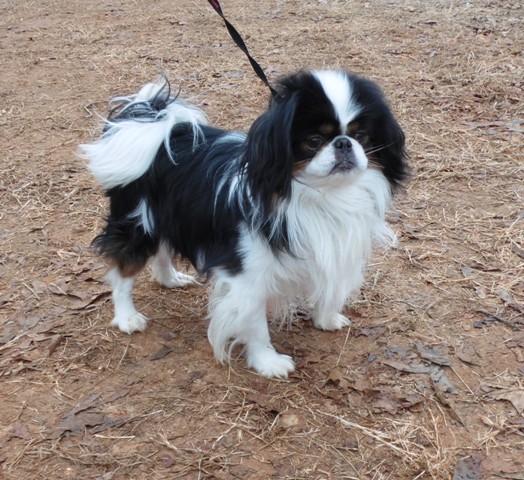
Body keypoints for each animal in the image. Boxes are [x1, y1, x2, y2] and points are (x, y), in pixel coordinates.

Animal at [81, 70, 410, 378]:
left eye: (362, 136)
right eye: (314, 141)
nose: (344, 143)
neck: (321, 196)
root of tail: (160, 128)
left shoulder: (334, 247)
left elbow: (329, 291)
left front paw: (326, 320)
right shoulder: (248, 278)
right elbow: (255, 324)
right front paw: (267, 362)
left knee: (162, 251)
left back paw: (170, 279)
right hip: (138, 224)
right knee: (123, 272)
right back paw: (127, 317)